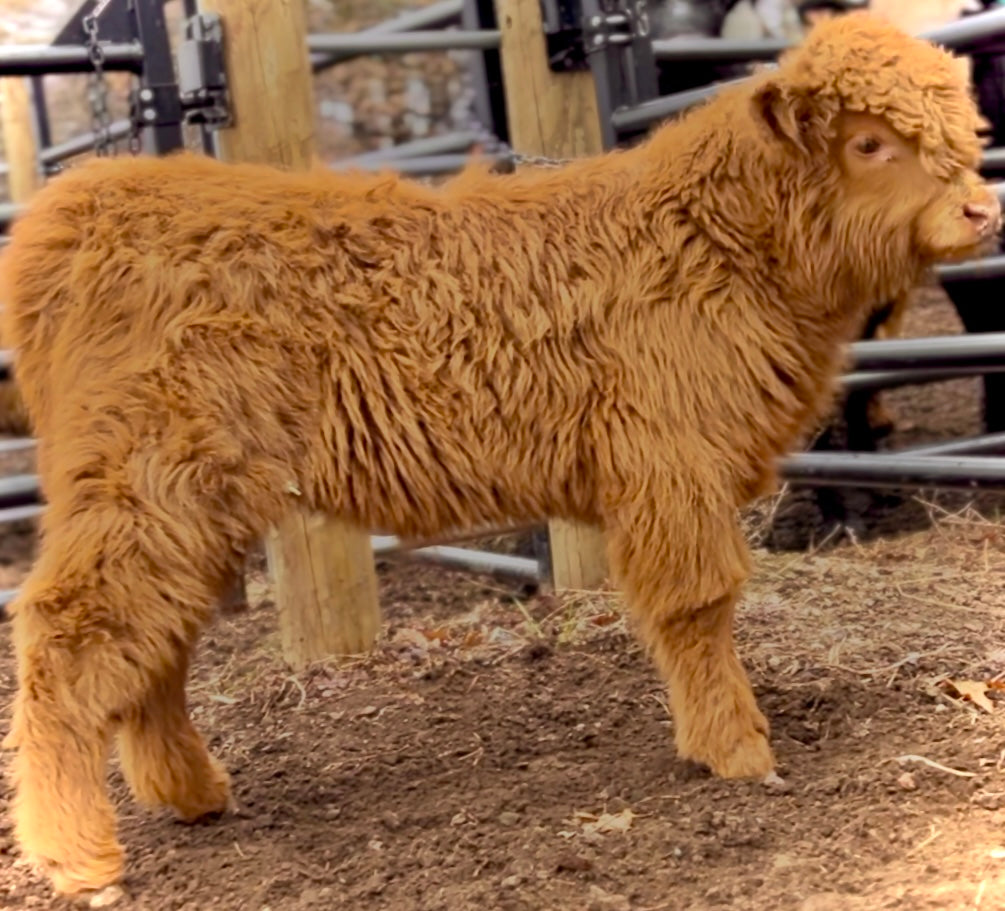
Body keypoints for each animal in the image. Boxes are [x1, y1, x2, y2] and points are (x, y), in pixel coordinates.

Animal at [0, 12, 1000, 892]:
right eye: (869, 143)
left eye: (956, 132)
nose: (980, 207)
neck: (713, 240)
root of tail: (83, 202)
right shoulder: (671, 465)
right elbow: (699, 604)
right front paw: (738, 750)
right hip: (142, 482)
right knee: (69, 632)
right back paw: (75, 853)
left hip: (186, 500)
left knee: (152, 639)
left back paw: (192, 793)